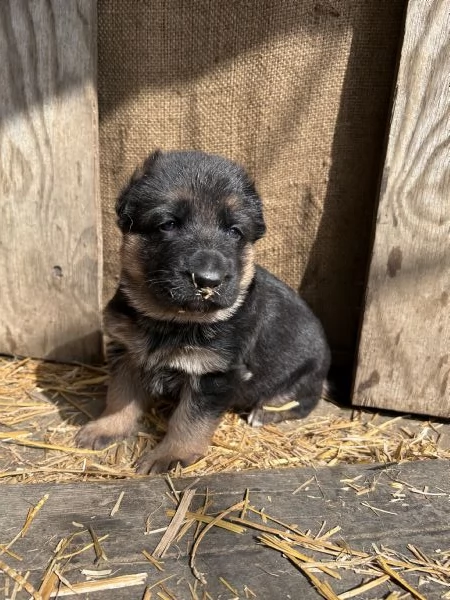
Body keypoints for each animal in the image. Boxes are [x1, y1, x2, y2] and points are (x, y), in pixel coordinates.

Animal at [75, 150, 330, 474]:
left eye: (234, 232)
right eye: (168, 224)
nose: (207, 281)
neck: (174, 320)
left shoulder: (214, 375)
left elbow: (189, 421)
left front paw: (171, 455)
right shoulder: (127, 353)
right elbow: (120, 396)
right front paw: (106, 427)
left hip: (304, 374)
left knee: (303, 400)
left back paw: (266, 411)